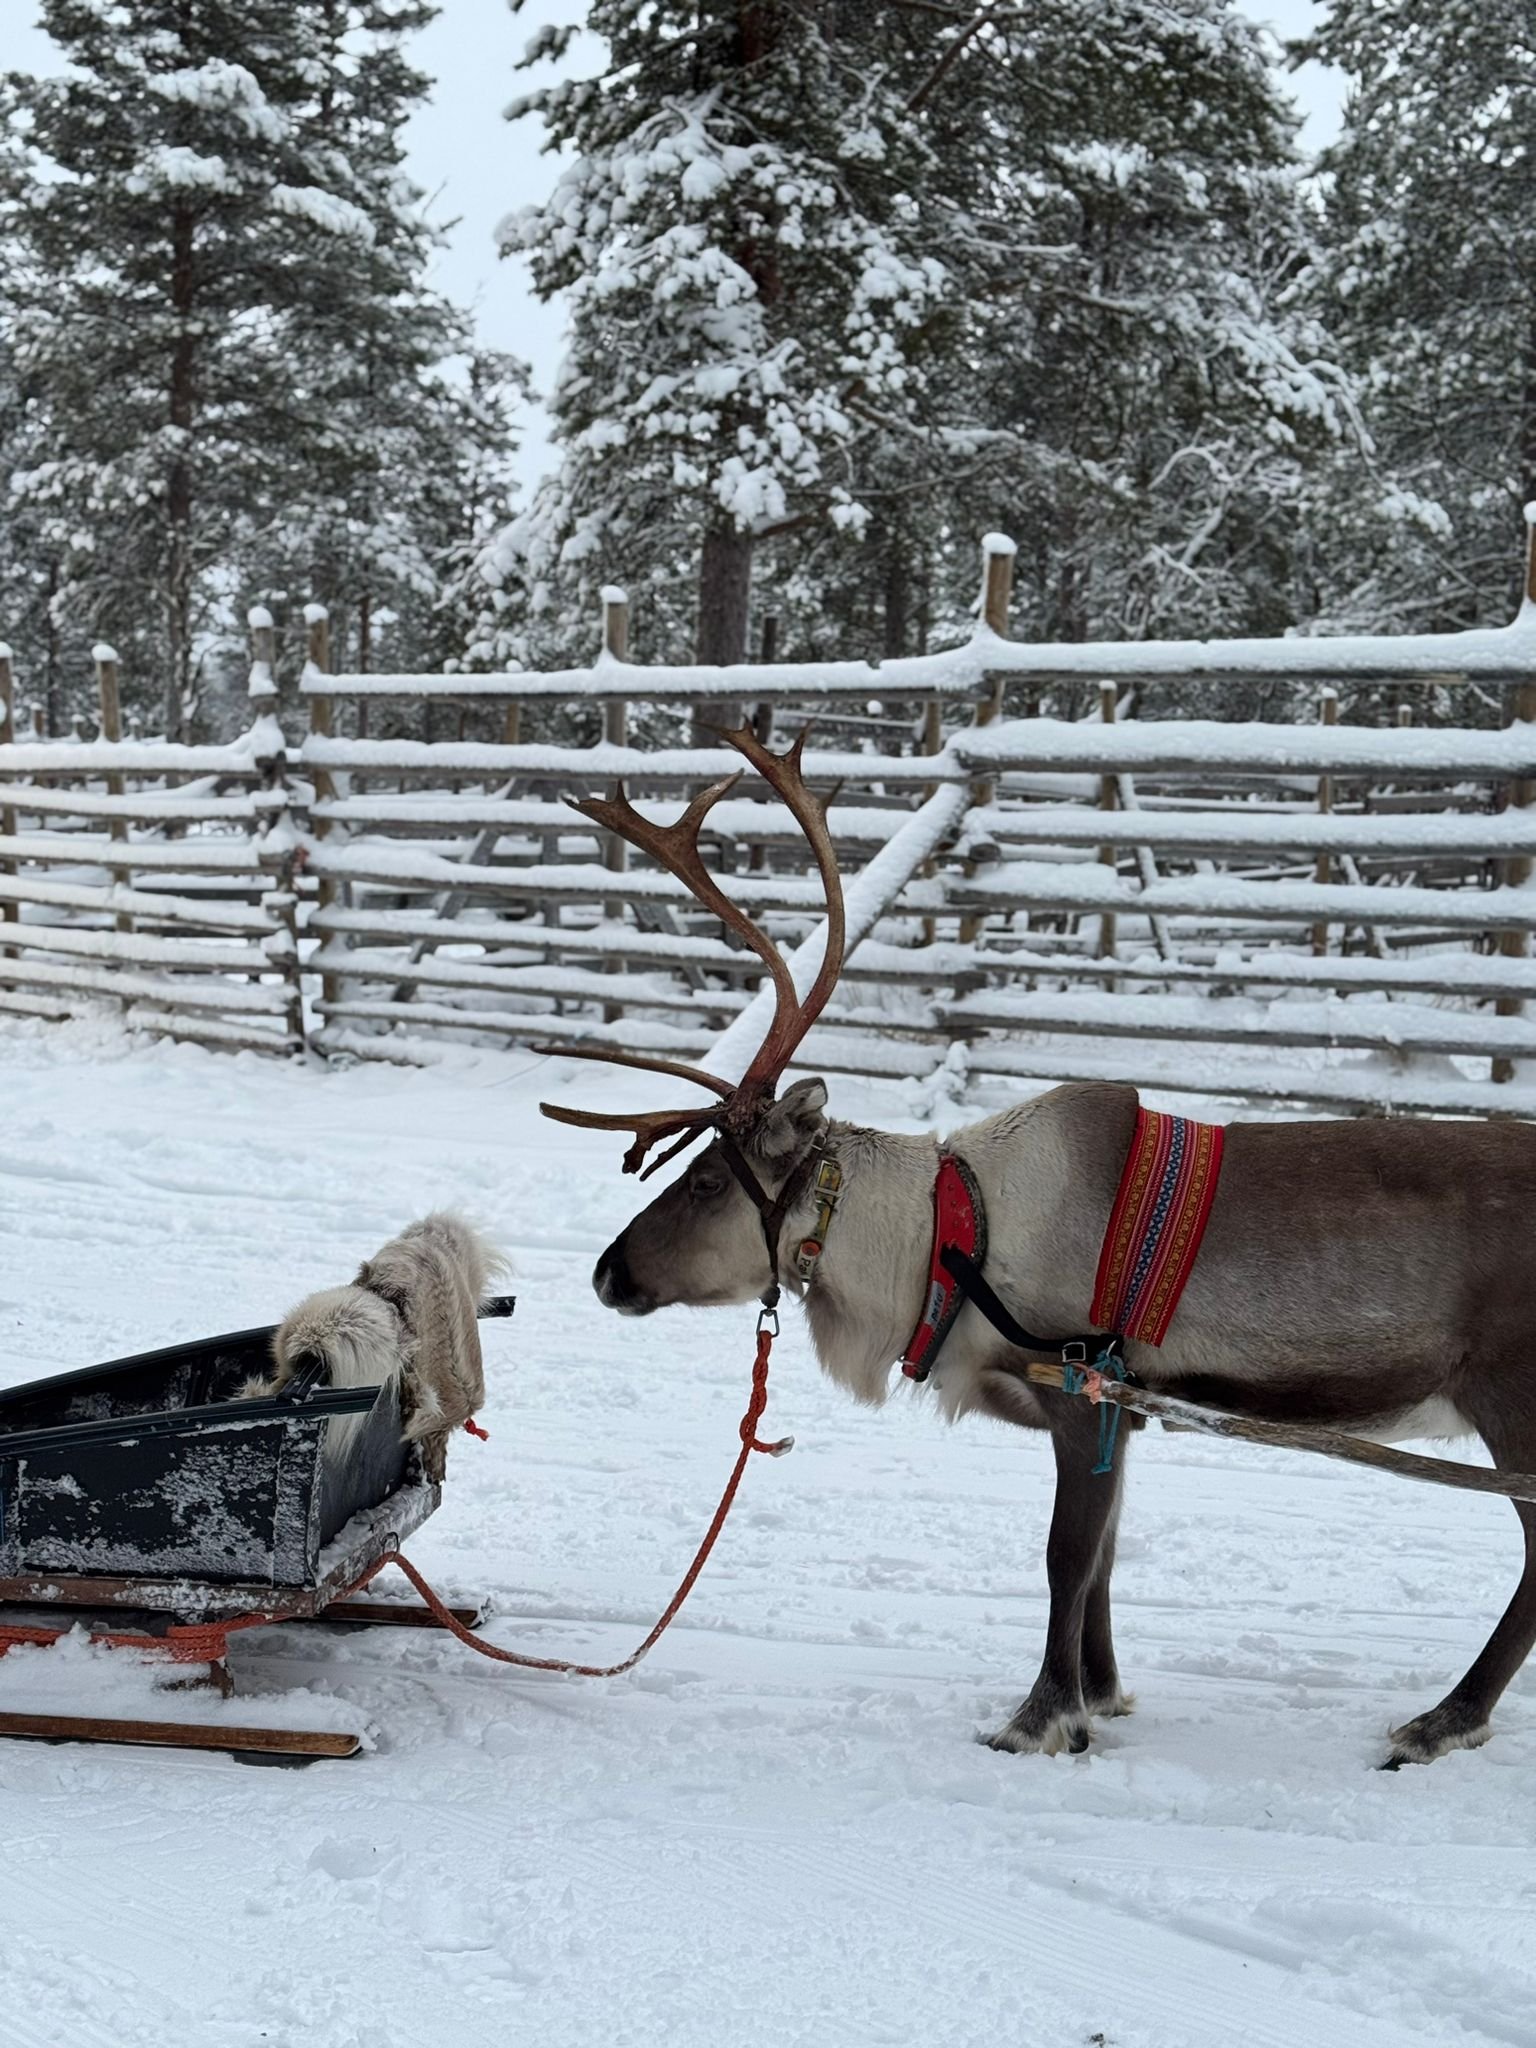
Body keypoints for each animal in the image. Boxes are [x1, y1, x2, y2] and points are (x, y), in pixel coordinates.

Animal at [542, 724, 1536, 1770]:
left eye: (703, 1181)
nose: (606, 1273)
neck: (945, 1239)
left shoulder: (1082, 1391)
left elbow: (1066, 1557)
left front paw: (1040, 1716)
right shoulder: (1118, 1413)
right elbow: (1103, 1559)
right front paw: (1102, 1693)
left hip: (1516, 1395)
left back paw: (1445, 1719)